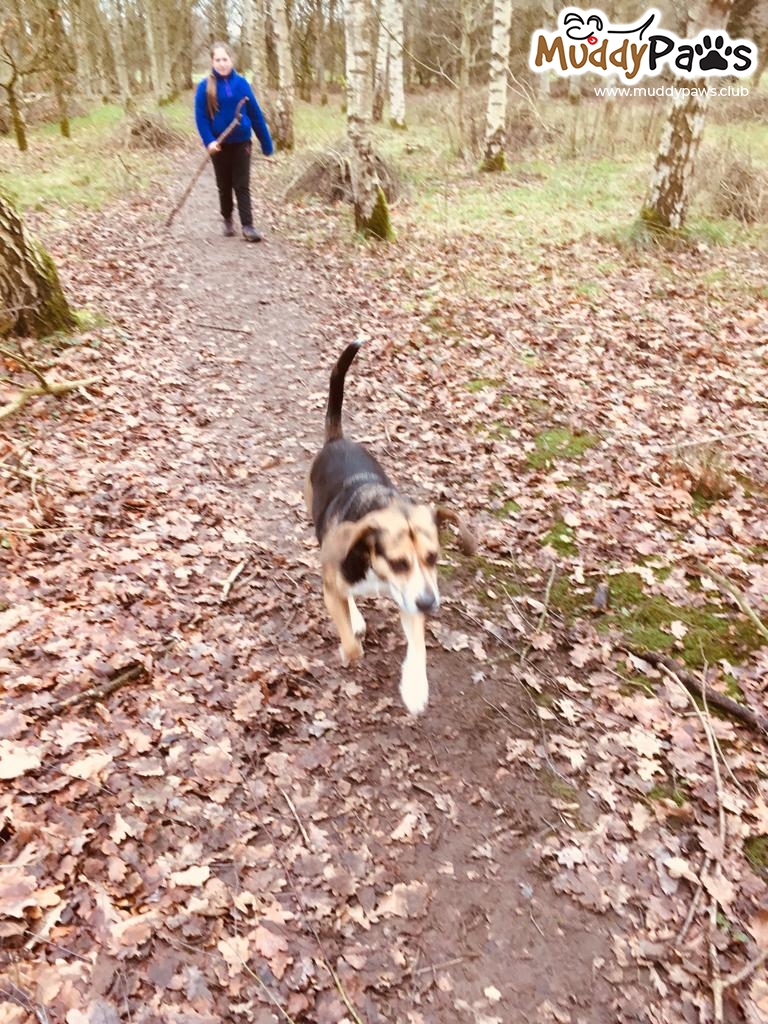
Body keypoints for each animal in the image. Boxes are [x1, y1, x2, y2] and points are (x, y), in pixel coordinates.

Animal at [306, 341, 474, 715]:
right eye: (398, 562)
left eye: (433, 557)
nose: (430, 604)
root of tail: (337, 439)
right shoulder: (335, 582)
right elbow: (349, 640)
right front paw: (350, 647)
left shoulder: (413, 596)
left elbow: (419, 646)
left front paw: (414, 686)